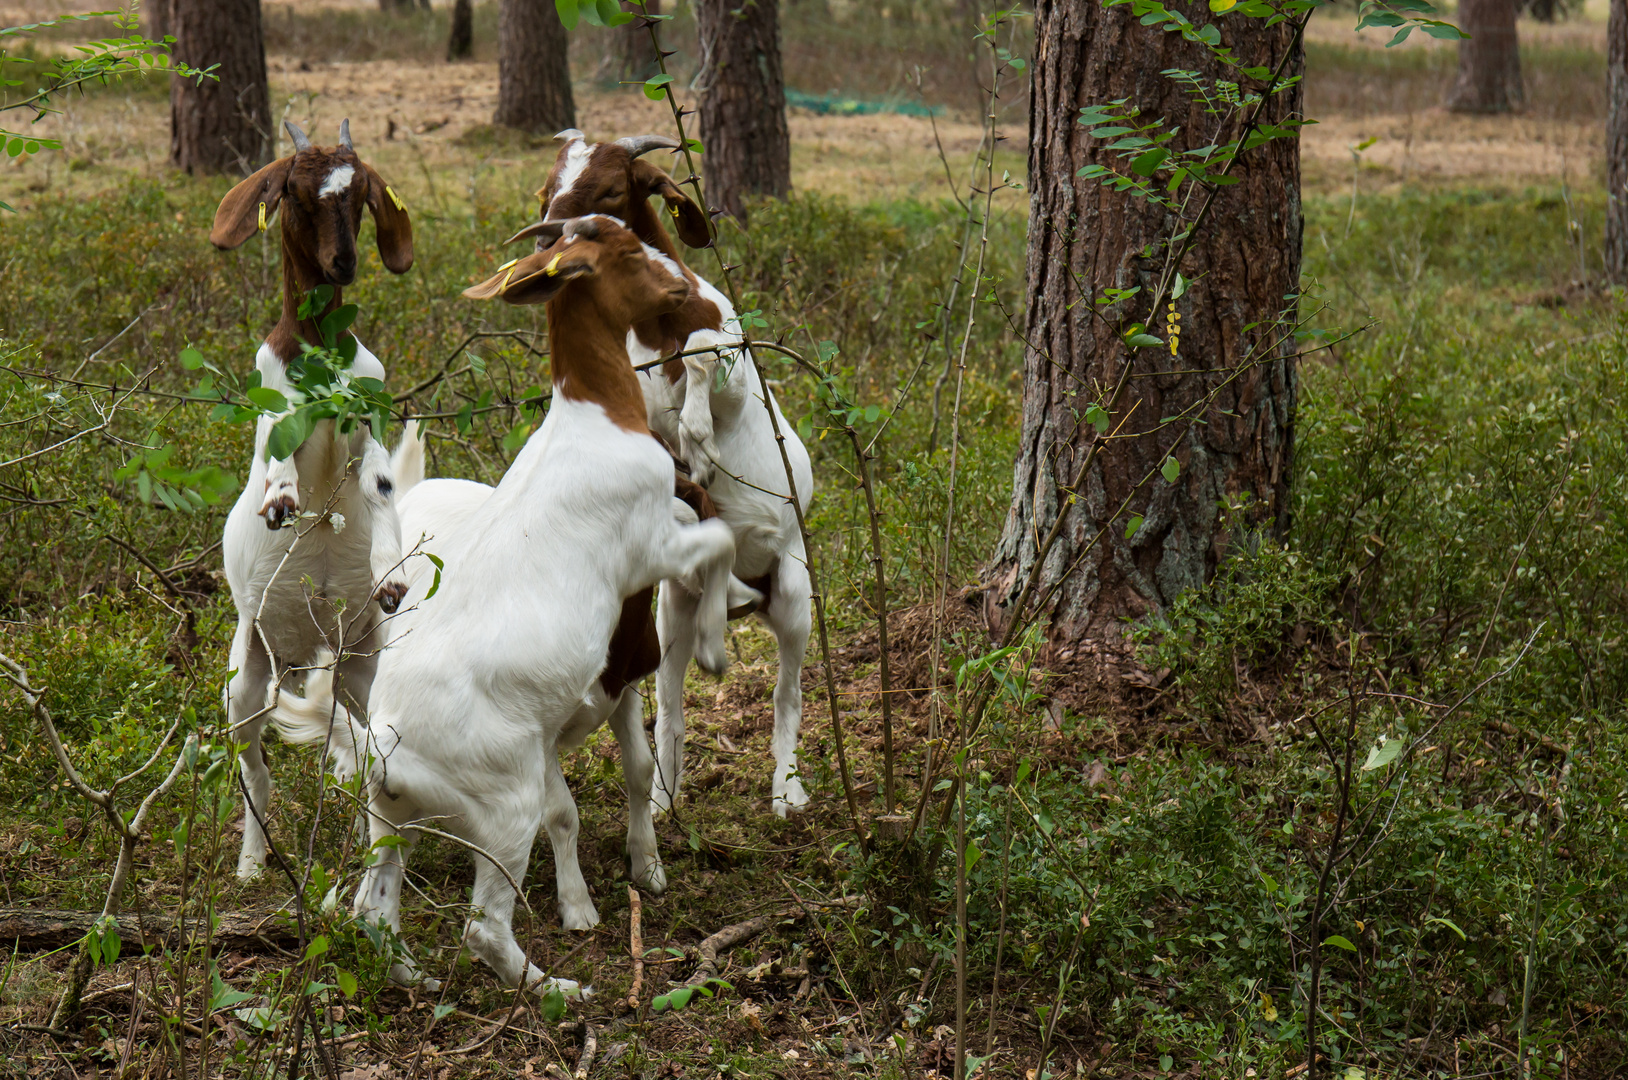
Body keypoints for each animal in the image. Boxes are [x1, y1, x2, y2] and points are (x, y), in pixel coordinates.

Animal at [210, 120, 420, 879]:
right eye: (295, 194)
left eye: (360, 195)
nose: (343, 263)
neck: (322, 357)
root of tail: (305, 652)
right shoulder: (276, 402)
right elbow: (276, 448)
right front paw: (279, 500)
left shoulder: (370, 414)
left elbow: (381, 483)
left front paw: (391, 577)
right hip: (248, 674)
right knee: (255, 769)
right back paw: (250, 863)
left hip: (357, 666)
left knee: (356, 750)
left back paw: (365, 842)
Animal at [268, 218, 739, 996]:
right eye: (630, 252)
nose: (686, 287)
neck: (595, 416)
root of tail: (385, 742)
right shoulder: (652, 546)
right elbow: (720, 536)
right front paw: (713, 646)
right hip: (506, 808)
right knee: (484, 927)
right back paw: (557, 990)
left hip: (391, 820)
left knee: (374, 904)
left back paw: (416, 980)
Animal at [520, 128, 820, 820]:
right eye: (548, 192)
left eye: (609, 190)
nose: (550, 249)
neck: (650, 328)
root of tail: (750, 602)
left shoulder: (732, 365)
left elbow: (707, 357)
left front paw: (702, 440)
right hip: (674, 610)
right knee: (672, 703)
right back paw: (661, 798)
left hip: (795, 593)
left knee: (787, 694)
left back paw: (786, 789)